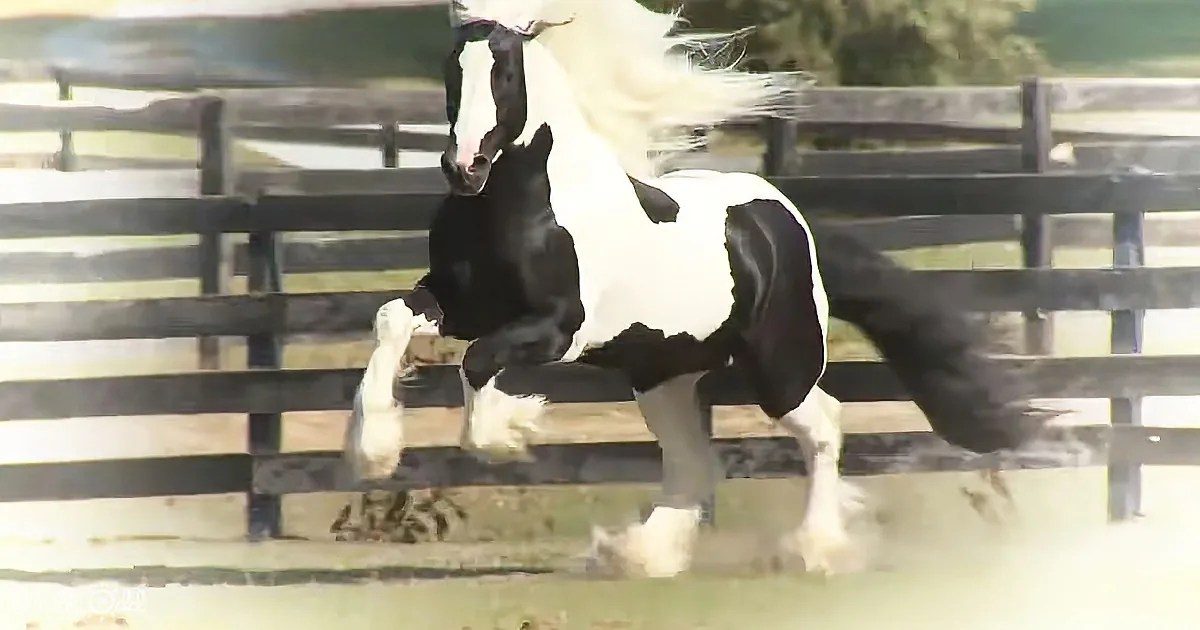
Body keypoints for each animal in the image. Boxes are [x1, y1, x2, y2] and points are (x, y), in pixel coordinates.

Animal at [343, 0, 1052, 578]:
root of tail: (787, 219)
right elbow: (392, 319)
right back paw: (639, 555)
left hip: (779, 365)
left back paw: (812, 550)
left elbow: (479, 360)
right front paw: (372, 451)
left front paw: (511, 430)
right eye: (451, 72)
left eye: (507, 73)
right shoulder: (459, 303)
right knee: (691, 459)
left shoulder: (557, 327)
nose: (463, 168)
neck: (525, 205)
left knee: (823, 425)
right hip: (664, 373)